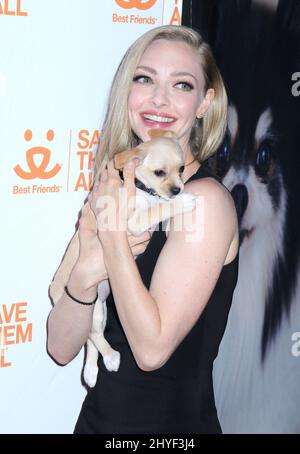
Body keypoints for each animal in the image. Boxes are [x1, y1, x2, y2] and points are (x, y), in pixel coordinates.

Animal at [49, 129, 197, 386]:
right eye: (159, 172)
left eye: (181, 169)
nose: (178, 189)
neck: (143, 189)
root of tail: (54, 289)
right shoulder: (134, 222)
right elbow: (158, 210)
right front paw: (182, 202)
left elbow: (161, 210)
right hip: (94, 309)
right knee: (94, 336)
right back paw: (110, 357)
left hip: (98, 307)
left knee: (91, 337)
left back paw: (91, 371)